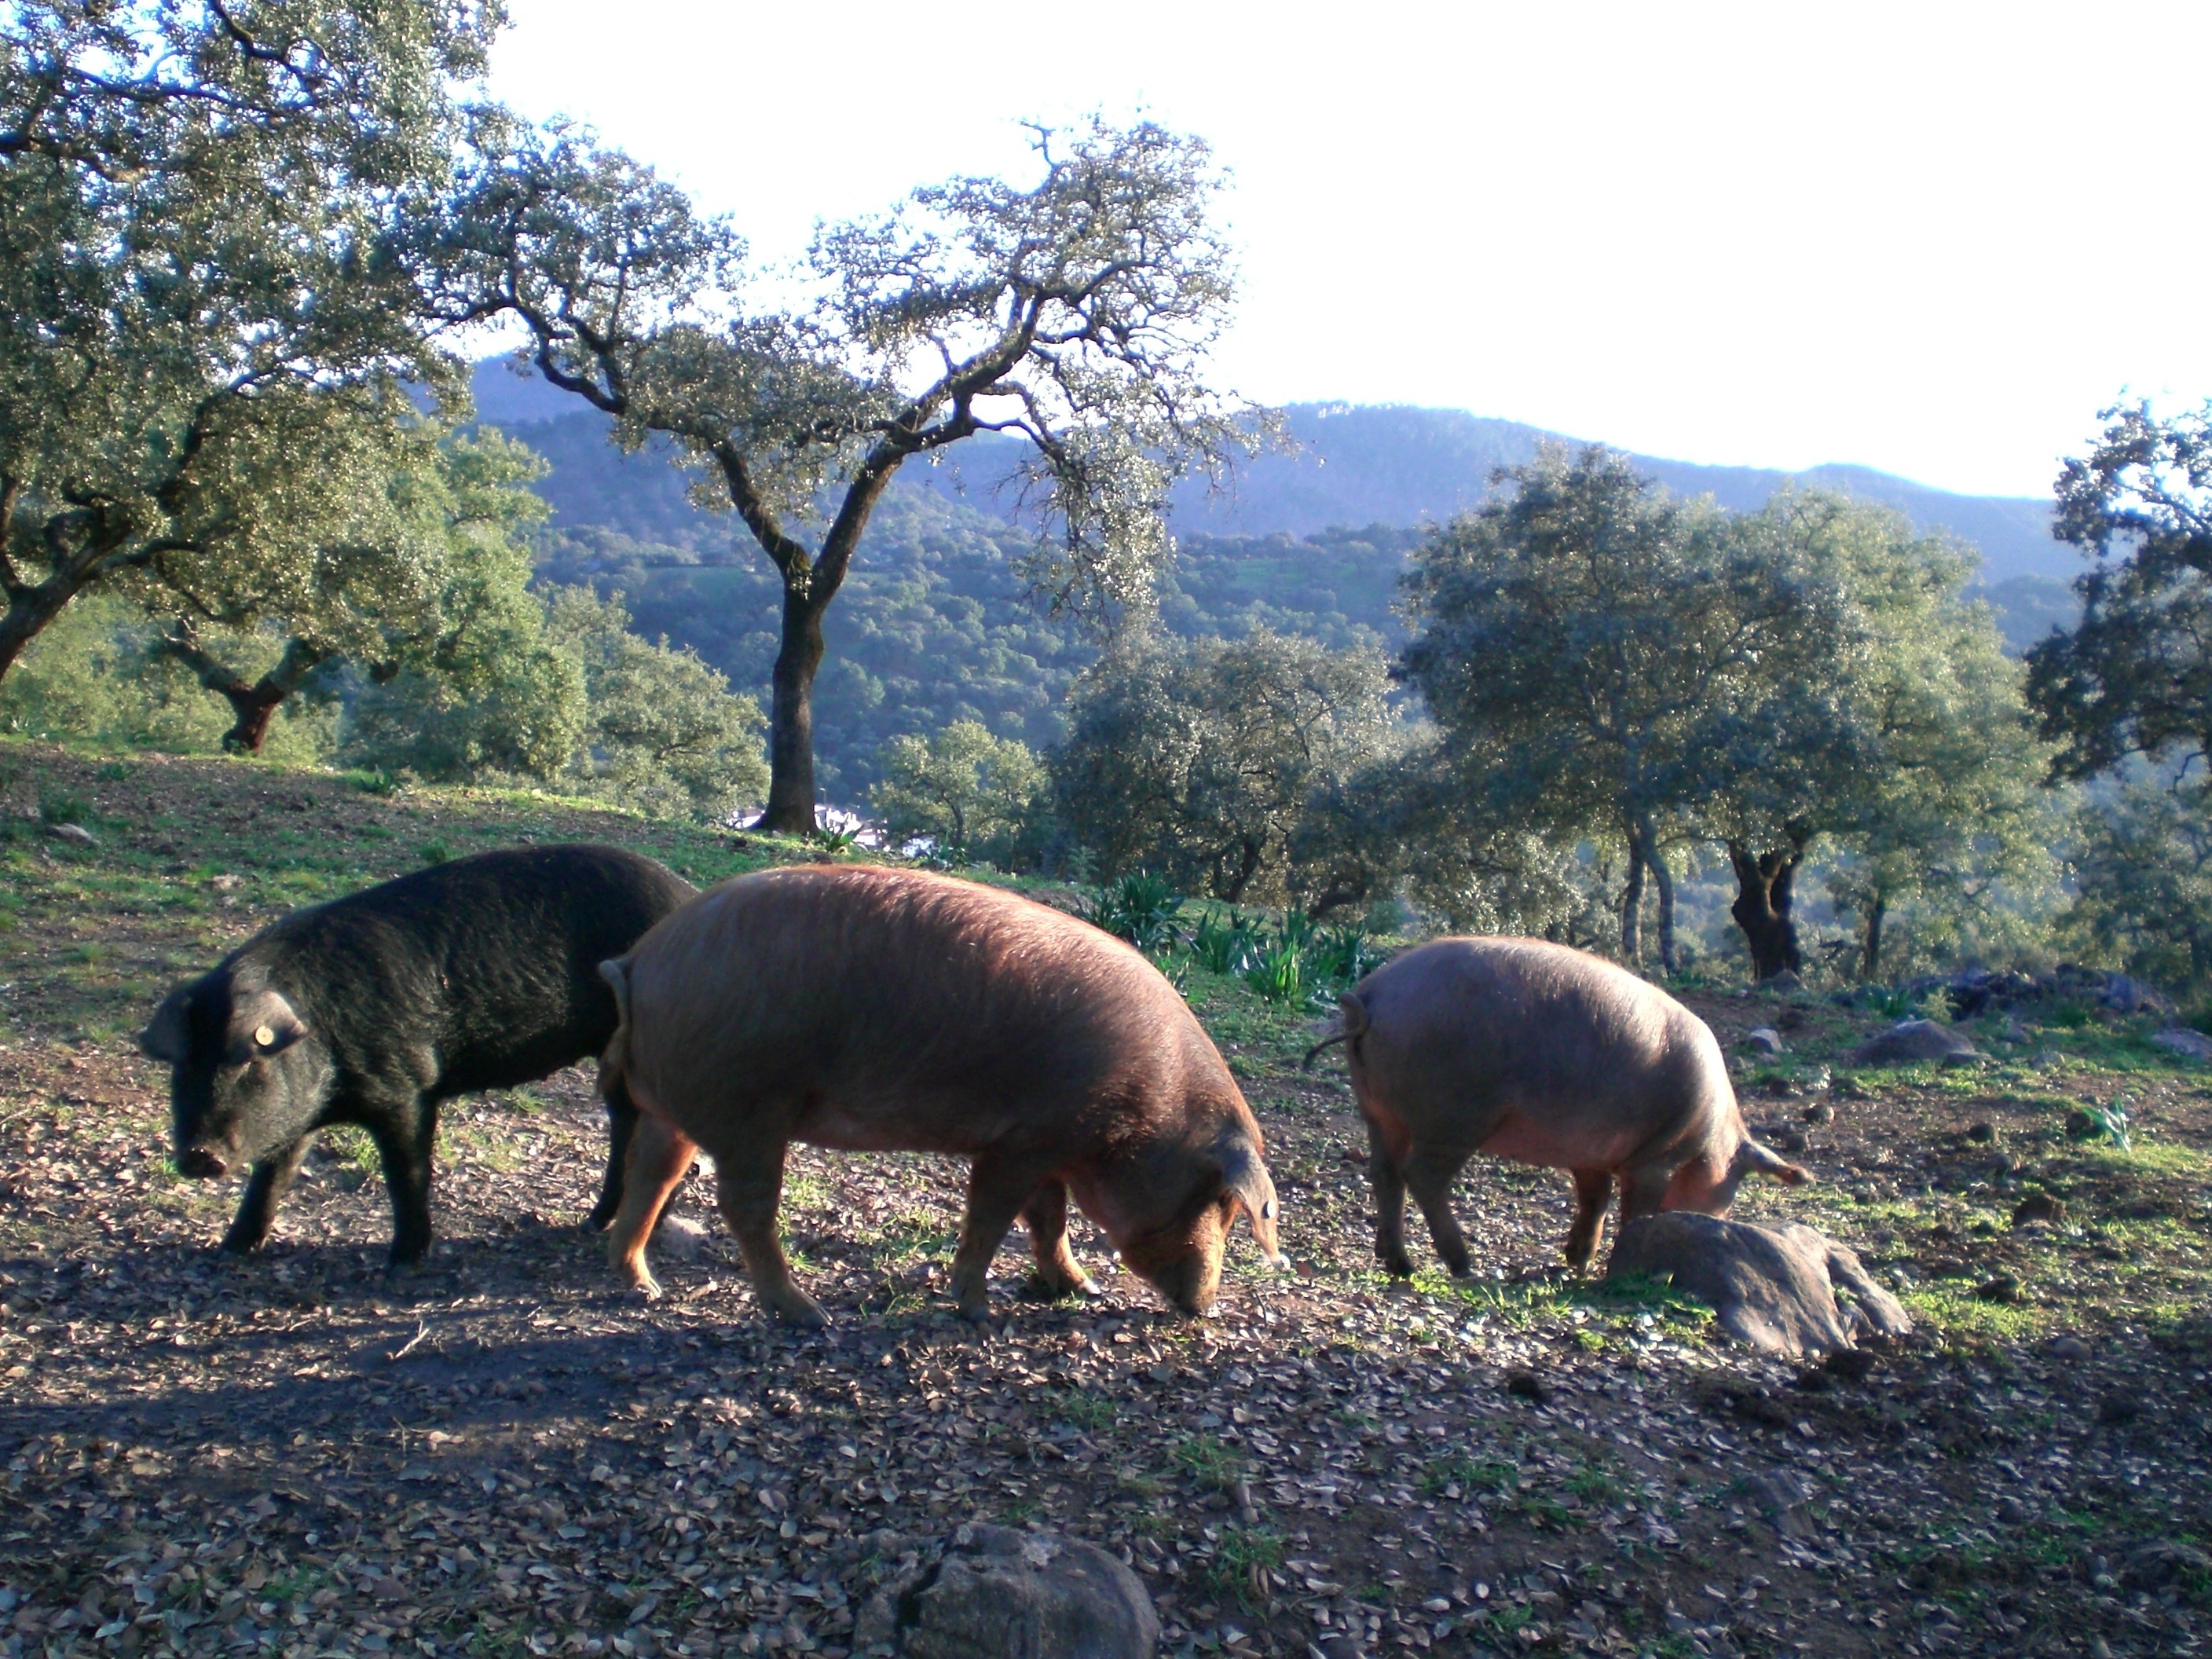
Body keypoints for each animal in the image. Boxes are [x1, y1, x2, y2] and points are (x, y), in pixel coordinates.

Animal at [140, 849, 690, 1265]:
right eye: (184, 1066)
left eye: (248, 1060)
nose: (198, 1153)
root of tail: (685, 893)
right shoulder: (296, 1117)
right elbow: (272, 1175)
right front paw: (232, 1249)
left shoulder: (407, 1084)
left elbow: (406, 1170)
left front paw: (406, 1257)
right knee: (629, 1127)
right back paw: (594, 1224)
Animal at [592, 871, 1283, 1327]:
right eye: (1222, 1204)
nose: (1203, 1309)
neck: (1150, 1110)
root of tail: (641, 961)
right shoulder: (1020, 1143)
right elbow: (992, 1216)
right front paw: (978, 1311)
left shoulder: (1049, 1145)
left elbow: (1048, 1221)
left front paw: (1081, 1291)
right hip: (747, 1108)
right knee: (743, 1208)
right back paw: (809, 1315)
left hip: (672, 1109)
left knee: (648, 1175)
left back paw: (642, 1287)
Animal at [1300, 942, 1804, 1283]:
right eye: (1732, 1184)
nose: (1716, 1221)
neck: (1713, 1134)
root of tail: (1373, 994)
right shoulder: (1657, 1157)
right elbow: (1636, 1211)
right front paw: (1618, 1267)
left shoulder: (1592, 1153)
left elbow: (1594, 1201)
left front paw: (1576, 1262)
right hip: (1455, 1115)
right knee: (1421, 1175)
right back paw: (1465, 1266)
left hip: (1379, 1110)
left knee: (1385, 1174)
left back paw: (1400, 1264)